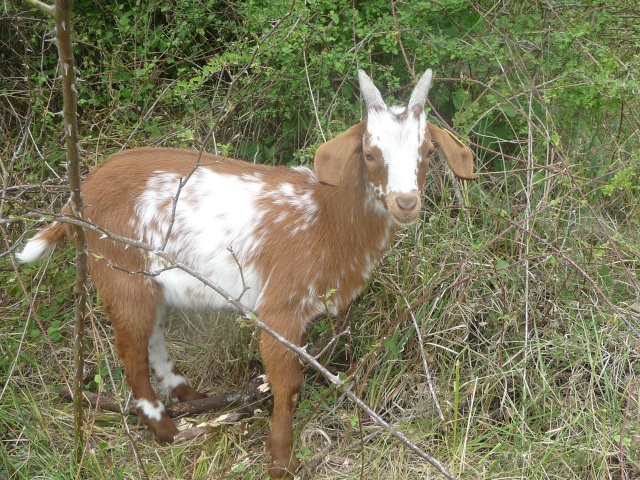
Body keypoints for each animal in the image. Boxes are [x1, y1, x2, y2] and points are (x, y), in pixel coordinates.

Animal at [17, 69, 478, 478]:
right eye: (369, 153)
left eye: (428, 153)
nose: (406, 202)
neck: (325, 218)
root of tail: (79, 196)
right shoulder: (279, 309)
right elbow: (288, 385)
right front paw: (282, 464)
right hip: (121, 271)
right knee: (130, 351)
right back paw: (165, 429)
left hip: (155, 281)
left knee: (154, 337)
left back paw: (186, 393)